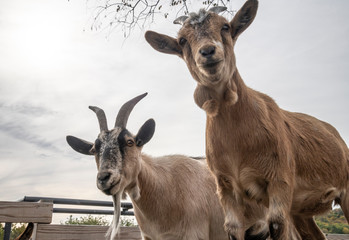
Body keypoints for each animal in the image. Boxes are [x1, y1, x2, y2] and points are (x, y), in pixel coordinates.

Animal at [143, 0, 348, 239]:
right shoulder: (226, 187)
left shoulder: (280, 180)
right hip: (300, 210)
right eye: (183, 40)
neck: (239, 144)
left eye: (225, 27)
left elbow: (277, 225)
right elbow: (232, 227)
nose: (208, 51)